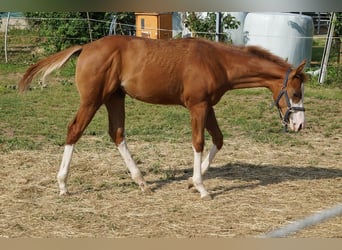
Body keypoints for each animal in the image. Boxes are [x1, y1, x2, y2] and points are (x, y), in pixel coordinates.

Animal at [19, 35, 308, 200]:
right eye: (295, 92)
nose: (299, 125)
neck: (218, 62)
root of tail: (86, 47)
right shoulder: (198, 107)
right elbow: (199, 143)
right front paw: (202, 188)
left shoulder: (208, 107)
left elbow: (218, 139)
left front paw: (191, 181)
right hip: (92, 100)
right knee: (74, 130)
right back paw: (63, 185)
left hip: (115, 98)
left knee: (117, 134)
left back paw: (142, 182)